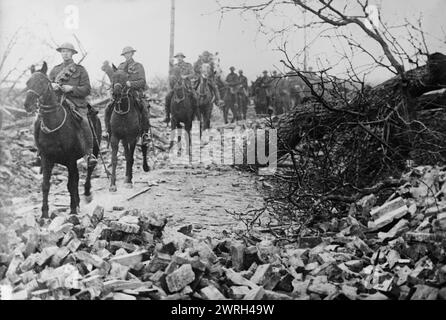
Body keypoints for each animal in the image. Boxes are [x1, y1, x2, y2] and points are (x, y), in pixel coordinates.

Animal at [23, 61, 101, 219]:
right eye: (28, 82)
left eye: (42, 82)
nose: (27, 105)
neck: (54, 123)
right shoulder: (46, 158)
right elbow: (46, 185)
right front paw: (44, 214)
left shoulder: (70, 159)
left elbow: (70, 184)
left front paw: (72, 211)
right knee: (76, 178)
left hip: (94, 149)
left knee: (89, 170)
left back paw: (86, 194)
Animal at [108, 63, 150, 191]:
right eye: (113, 77)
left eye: (126, 77)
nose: (116, 94)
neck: (123, 113)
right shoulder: (115, 138)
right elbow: (115, 159)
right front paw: (112, 185)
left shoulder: (132, 138)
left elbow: (131, 158)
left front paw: (129, 181)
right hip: (124, 139)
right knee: (127, 155)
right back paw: (127, 176)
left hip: (142, 133)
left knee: (144, 148)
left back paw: (144, 168)